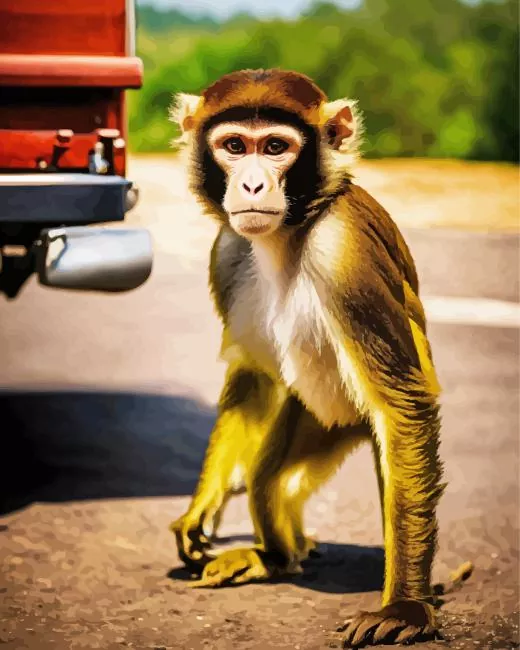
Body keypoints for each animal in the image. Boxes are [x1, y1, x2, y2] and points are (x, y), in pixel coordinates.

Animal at [168, 68, 447, 648]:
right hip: (320, 417)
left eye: (276, 148)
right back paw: (272, 558)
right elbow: (253, 375)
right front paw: (202, 507)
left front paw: (406, 609)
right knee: (268, 478)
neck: (290, 231)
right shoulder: (228, 248)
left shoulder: (345, 252)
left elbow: (404, 405)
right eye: (234, 146)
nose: (252, 185)